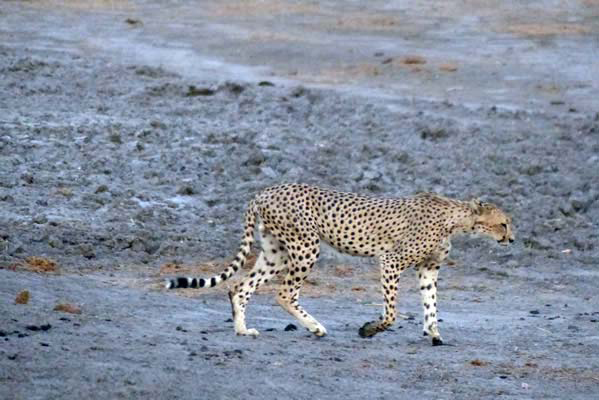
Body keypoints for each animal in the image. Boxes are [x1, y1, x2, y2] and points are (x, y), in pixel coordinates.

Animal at [165, 184, 516, 344]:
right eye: (503, 224)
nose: (512, 239)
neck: (456, 219)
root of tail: (266, 190)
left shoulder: (428, 269)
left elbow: (431, 305)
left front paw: (434, 334)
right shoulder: (390, 261)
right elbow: (391, 312)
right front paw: (370, 329)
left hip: (276, 252)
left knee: (240, 287)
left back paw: (242, 329)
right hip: (306, 247)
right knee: (284, 293)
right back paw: (315, 327)